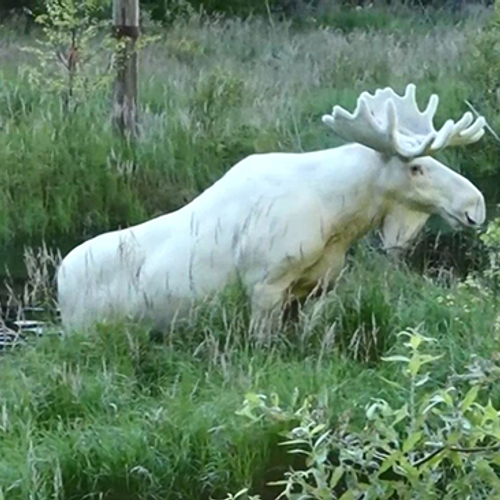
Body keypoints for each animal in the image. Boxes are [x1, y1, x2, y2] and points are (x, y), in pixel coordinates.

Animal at [56, 84, 486, 332]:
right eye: (417, 167)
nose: (475, 205)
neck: (341, 218)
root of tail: (58, 280)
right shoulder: (264, 285)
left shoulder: (315, 288)